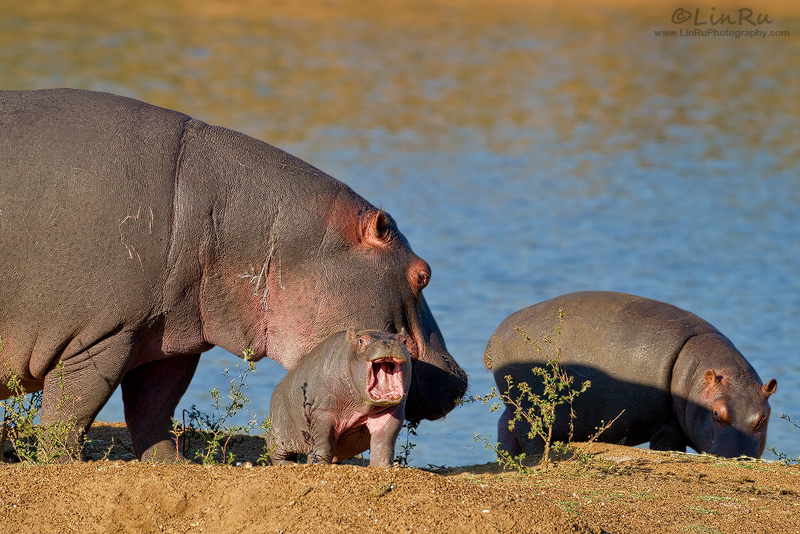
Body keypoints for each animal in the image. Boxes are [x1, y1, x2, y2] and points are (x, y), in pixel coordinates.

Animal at [272, 328, 416, 466]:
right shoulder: (323, 413)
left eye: (404, 341)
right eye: (361, 340)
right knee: (279, 454)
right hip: (279, 436)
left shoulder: (391, 415)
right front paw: (317, 464)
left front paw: (383, 467)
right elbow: (323, 446)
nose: (388, 342)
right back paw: (288, 464)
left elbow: (383, 446)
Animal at [484, 294, 780, 460]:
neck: (697, 375)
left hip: (515, 407)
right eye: (717, 413)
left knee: (504, 427)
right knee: (527, 435)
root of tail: (497, 332)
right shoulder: (667, 425)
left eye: (763, 417)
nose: (740, 458)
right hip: (530, 412)